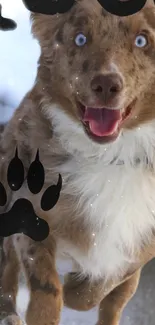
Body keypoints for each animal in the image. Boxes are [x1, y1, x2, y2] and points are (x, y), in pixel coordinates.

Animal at [0, 0, 155, 322]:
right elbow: (45, 285)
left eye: (142, 40)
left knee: (113, 304)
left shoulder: (140, 243)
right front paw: (45, 309)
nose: (106, 84)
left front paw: (77, 286)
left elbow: (103, 284)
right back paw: (8, 312)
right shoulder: (29, 210)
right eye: (80, 39)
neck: (111, 156)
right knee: (7, 262)